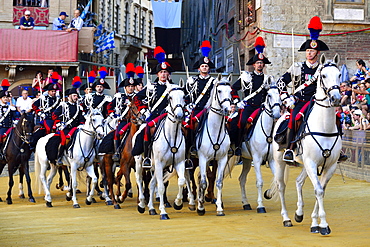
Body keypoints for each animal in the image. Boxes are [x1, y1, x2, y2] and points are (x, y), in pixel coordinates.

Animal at [225, 79, 280, 212]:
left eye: (279, 94)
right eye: (269, 95)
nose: (277, 114)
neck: (267, 132)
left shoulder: (271, 159)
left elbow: (277, 180)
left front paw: (268, 193)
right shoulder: (257, 158)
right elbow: (259, 182)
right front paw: (261, 206)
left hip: (246, 160)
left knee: (241, 179)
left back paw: (246, 203)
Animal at [270, 54, 342, 235]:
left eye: (339, 75)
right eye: (324, 75)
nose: (336, 99)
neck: (324, 126)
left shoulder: (329, 165)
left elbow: (321, 189)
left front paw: (316, 223)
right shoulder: (311, 162)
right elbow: (318, 190)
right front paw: (323, 225)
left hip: (304, 164)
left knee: (298, 181)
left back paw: (299, 213)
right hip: (280, 162)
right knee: (281, 186)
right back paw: (286, 218)